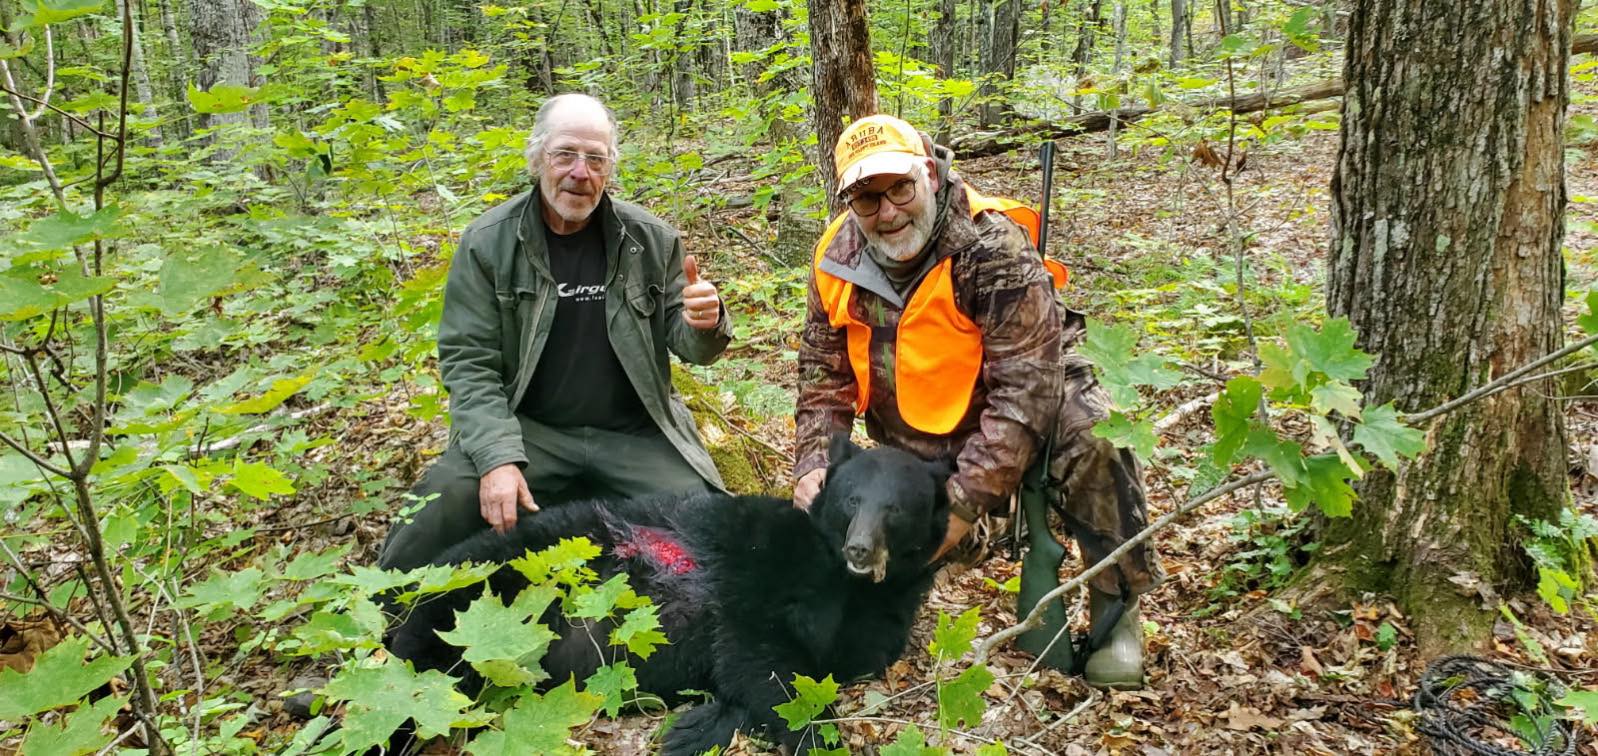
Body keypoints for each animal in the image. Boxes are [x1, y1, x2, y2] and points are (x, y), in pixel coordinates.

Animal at [384, 434, 951, 755]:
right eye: (853, 498)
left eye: (897, 508)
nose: (860, 548)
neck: (839, 577)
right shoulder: (758, 568)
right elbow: (759, 655)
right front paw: (815, 735)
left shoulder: (878, 616)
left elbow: (831, 662)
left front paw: (699, 725)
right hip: (482, 589)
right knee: (419, 673)